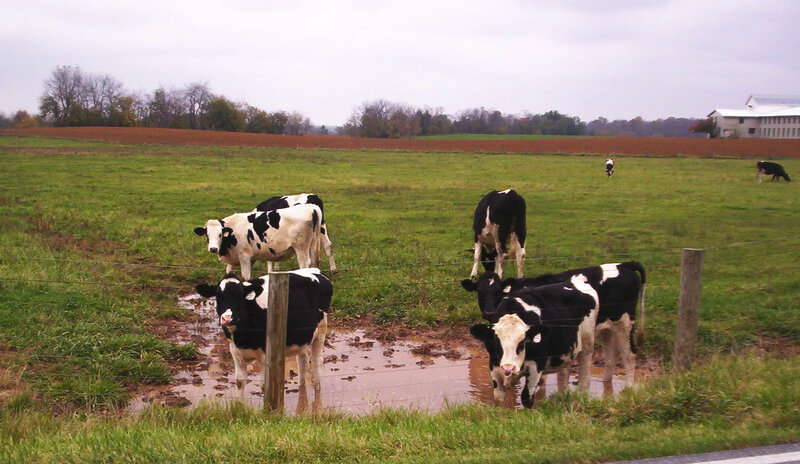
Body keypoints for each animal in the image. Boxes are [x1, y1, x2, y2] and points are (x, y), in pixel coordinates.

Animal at [195, 268, 332, 396]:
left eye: (240, 296)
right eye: (218, 296)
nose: (228, 318)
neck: (242, 338)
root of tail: (314, 270)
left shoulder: (266, 356)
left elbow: (264, 385)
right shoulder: (235, 352)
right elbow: (240, 381)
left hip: (321, 330)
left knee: (317, 362)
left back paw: (317, 393)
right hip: (303, 337)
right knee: (302, 362)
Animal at [461, 261, 646, 386]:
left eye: (498, 291)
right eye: (479, 292)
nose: (489, 311)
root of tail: (624, 265)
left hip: (625, 323)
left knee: (629, 354)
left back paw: (628, 388)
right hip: (608, 326)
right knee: (610, 354)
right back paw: (605, 384)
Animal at [469, 275, 599, 408]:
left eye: (522, 342)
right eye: (496, 342)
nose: (508, 367)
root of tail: (576, 281)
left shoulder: (536, 365)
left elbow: (527, 398)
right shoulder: (494, 364)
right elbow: (498, 397)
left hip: (587, 344)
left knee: (584, 376)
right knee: (563, 377)